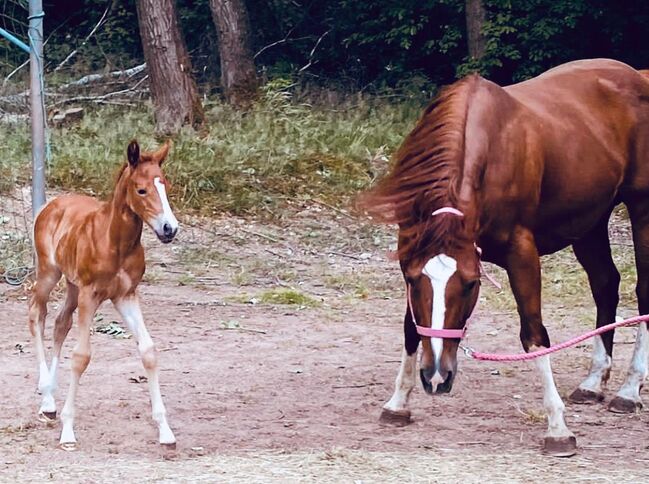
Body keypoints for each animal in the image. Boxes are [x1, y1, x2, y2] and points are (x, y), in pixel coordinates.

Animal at [28, 140, 177, 450]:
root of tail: (51, 205)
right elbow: (81, 356)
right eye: (141, 190)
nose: (169, 229)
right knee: (37, 313)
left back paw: (50, 397)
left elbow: (149, 351)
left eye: (165, 185)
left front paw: (165, 430)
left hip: (72, 286)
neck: (114, 241)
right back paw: (46, 398)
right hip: (49, 273)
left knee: (60, 323)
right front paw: (68, 432)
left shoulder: (126, 295)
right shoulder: (90, 294)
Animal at [362, 58, 648, 456]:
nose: (436, 377)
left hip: (642, 209)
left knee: (643, 291)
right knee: (606, 284)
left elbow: (534, 333)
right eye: (414, 280)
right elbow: (410, 327)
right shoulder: (413, 253)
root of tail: (638, 76)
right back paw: (593, 382)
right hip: (590, 220)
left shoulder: (521, 253)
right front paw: (398, 403)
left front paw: (557, 428)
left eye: (471, 284)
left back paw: (629, 390)